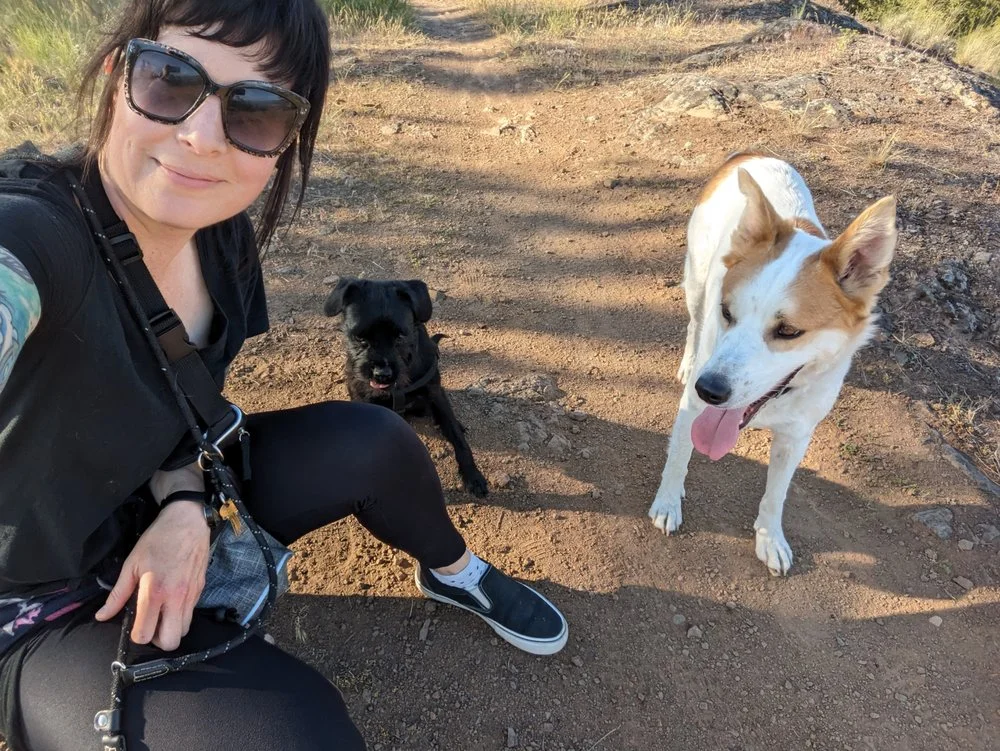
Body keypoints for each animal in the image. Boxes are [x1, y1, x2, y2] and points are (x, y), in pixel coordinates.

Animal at [323, 277, 489, 498]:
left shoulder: (435, 393)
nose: (382, 374)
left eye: (400, 336)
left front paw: (472, 475)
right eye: (359, 337)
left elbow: (458, 438)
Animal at [647, 153, 897, 575]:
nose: (708, 389)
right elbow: (678, 456)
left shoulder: (796, 437)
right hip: (695, 280)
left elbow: (776, 495)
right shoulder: (692, 409)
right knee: (693, 321)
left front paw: (770, 539)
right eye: (726, 312)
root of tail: (751, 154)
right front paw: (667, 502)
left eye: (789, 331)